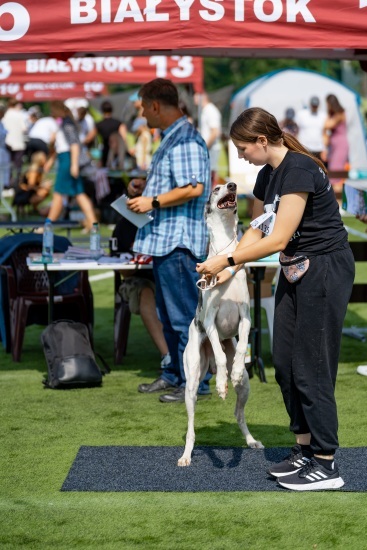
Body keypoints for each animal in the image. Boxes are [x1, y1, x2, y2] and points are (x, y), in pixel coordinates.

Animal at [178, 183, 264, 468]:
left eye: (228, 186)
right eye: (216, 188)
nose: (233, 185)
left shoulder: (245, 316)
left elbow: (242, 345)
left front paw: (233, 371)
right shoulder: (210, 321)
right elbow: (217, 350)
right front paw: (220, 383)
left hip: (246, 387)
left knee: (239, 414)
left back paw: (251, 440)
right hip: (192, 382)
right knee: (191, 428)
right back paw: (186, 455)